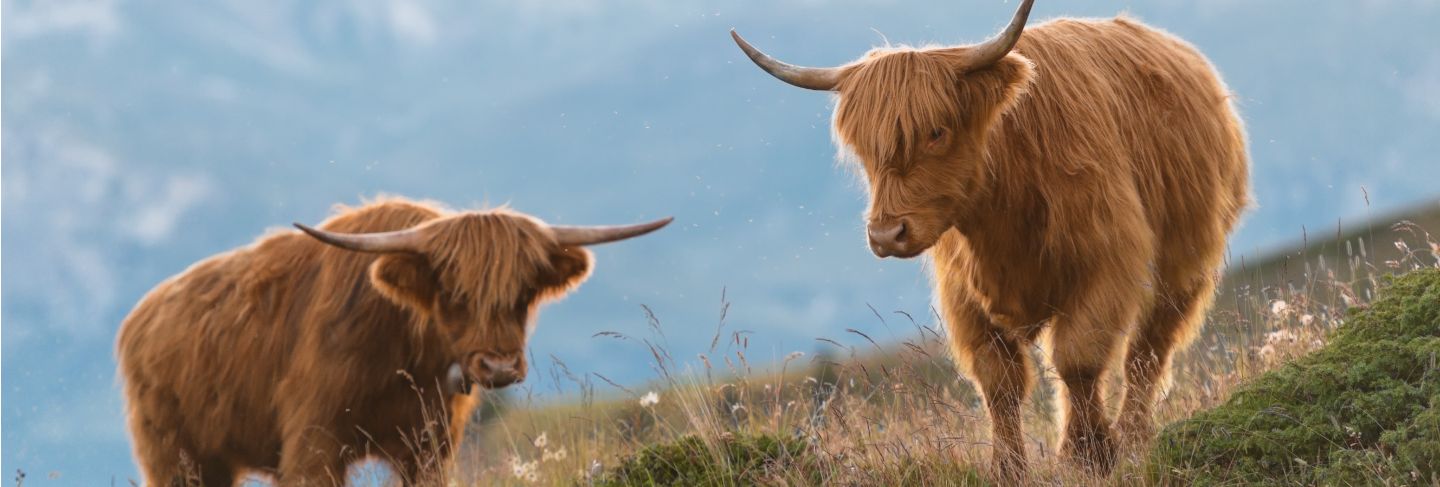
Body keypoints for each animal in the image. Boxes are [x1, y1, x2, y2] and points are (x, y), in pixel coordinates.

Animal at [116, 195, 668, 484]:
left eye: (524, 292)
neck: (405, 355)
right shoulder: (314, 445)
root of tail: (140, 315)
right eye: (453, 291)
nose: (499, 367)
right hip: (175, 458)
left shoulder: (429, 446)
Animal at [731, 0, 1249, 478]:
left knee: (1147, 353)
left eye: (936, 131)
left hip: (1183, 268)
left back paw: (1135, 437)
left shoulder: (1107, 263)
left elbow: (1079, 359)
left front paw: (1090, 456)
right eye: (864, 149)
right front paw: (1009, 468)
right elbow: (999, 382)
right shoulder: (963, 293)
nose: (886, 234)